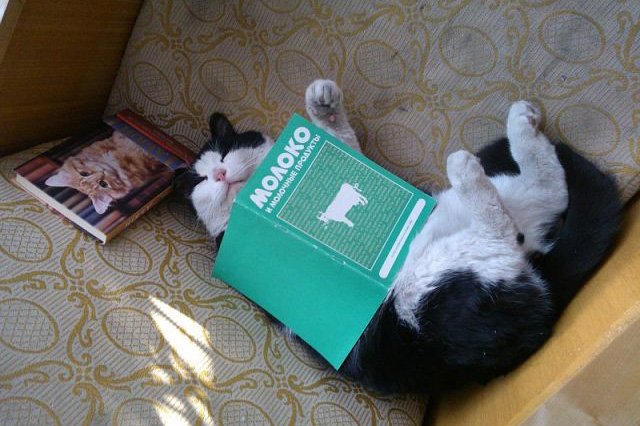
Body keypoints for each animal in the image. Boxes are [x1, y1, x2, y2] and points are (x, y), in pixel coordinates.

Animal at [173, 80, 621, 393]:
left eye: (226, 150)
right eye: (200, 181)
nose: (218, 174)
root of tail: (543, 299)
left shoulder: (355, 166)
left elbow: (345, 144)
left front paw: (323, 105)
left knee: (549, 192)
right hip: (435, 281)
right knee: (515, 218)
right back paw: (478, 158)